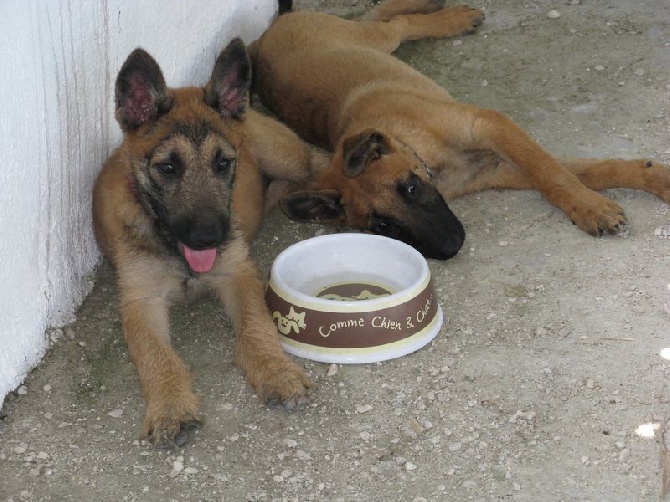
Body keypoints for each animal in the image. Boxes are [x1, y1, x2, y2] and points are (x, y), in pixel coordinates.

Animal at [93, 39, 324, 448]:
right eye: (168, 168)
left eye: (223, 163)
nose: (209, 236)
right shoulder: (140, 300)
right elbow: (157, 356)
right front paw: (170, 407)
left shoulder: (237, 273)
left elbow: (256, 327)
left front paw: (277, 372)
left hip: (282, 155)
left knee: (319, 160)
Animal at [252, 0, 670, 258]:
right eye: (382, 225)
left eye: (410, 188)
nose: (451, 246)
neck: (427, 154)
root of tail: (260, 39)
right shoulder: (498, 168)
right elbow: (578, 172)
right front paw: (613, 194)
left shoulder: (491, 127)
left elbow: (555, 174)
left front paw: (592, 206)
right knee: (382, 16)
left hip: (372, 40)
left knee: (394, 22)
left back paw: (448, 16)